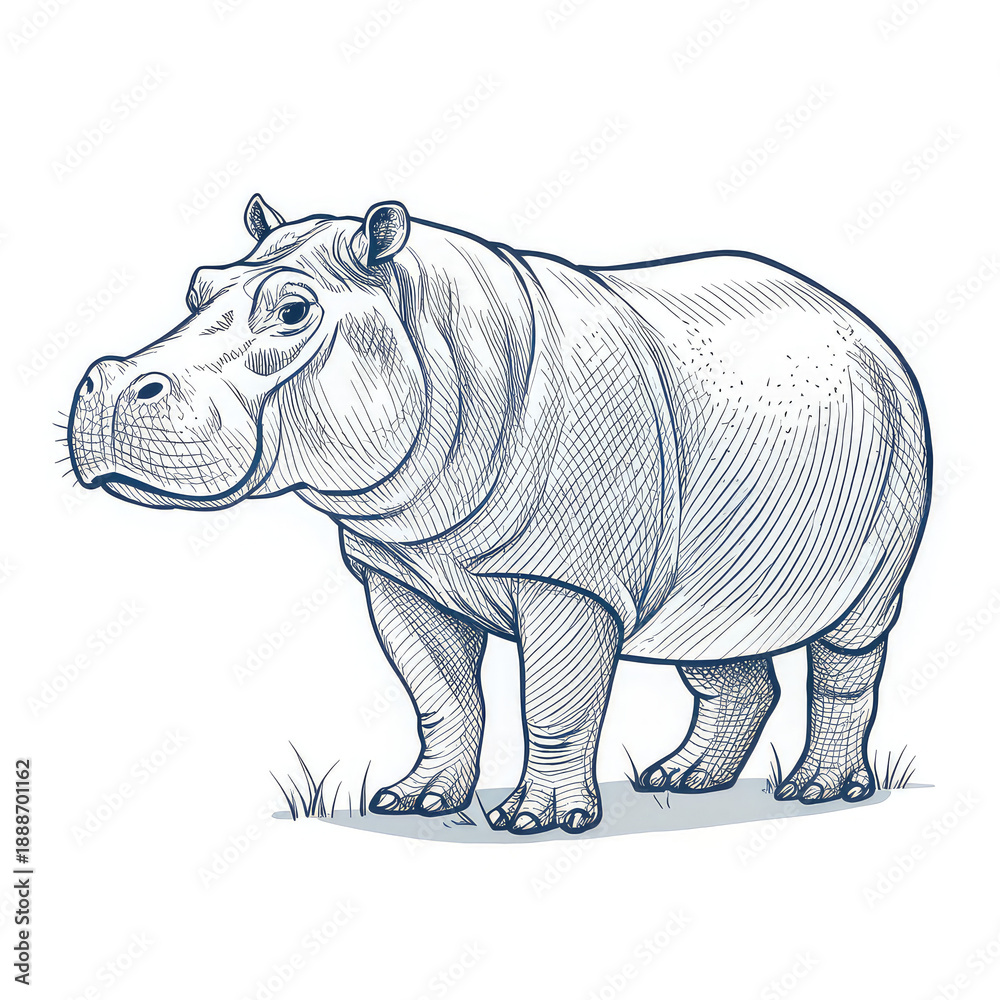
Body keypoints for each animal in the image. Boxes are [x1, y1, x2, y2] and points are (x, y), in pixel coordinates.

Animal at [68, 195, 930, 835]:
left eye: (293, 311)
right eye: (195, 288)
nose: (110, 384)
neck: (435, 331)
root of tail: (859, 321)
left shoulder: (568, 581)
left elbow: (553, 699)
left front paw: (536, 823)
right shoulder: (397, 569)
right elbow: (440, 697)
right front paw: (413, 801)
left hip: (896, 474)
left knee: (853, 644)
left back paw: (817, 793)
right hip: (727, 541)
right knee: (719, 639)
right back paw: (684, 780)